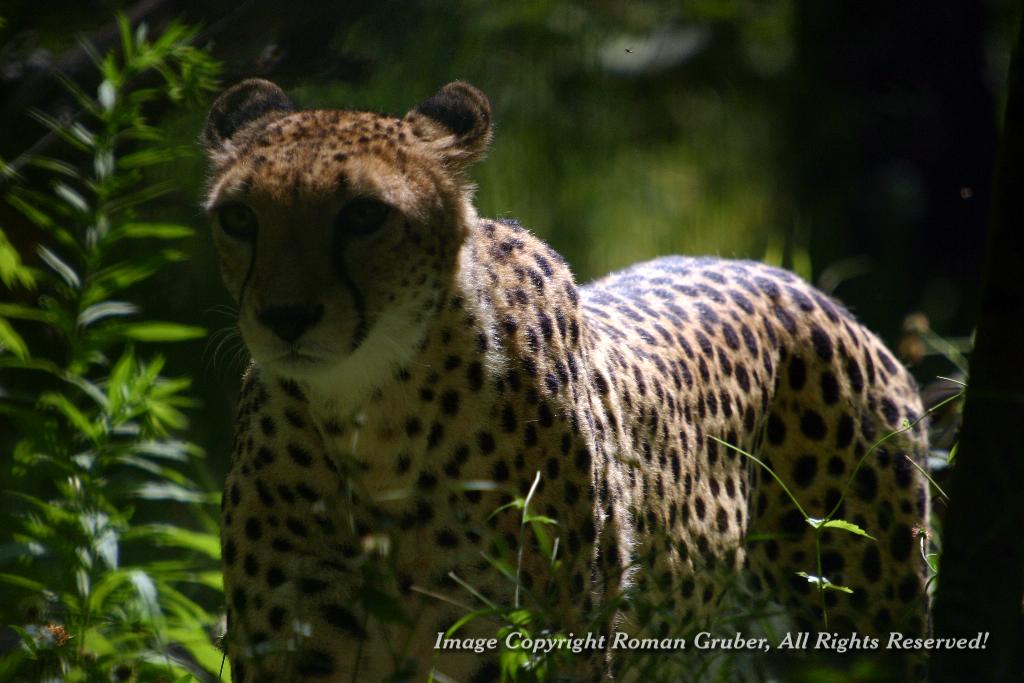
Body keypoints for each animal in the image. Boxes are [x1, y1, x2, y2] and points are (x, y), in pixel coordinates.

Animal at [203, 77, 933, 679]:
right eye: (239, 217)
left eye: (362, 214)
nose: (285, 316)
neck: (374, 415)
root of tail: (796, 280)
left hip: (862, 628)